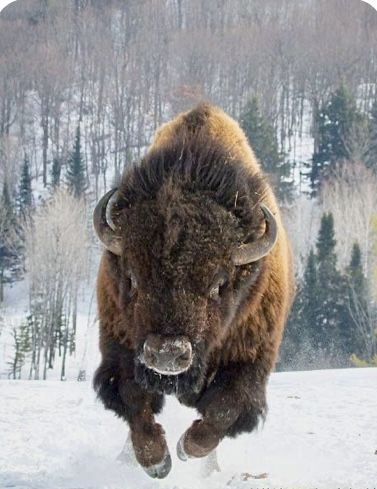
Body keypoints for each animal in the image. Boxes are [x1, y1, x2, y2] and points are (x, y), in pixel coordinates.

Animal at [92, 102, 294, 476]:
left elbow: (225, 408)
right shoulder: (121, 347)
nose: (166, 353)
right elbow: (133, 400)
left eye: (219, 284)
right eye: (133, 278)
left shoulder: (250, 360)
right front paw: (157, 462)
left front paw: (187, 449)